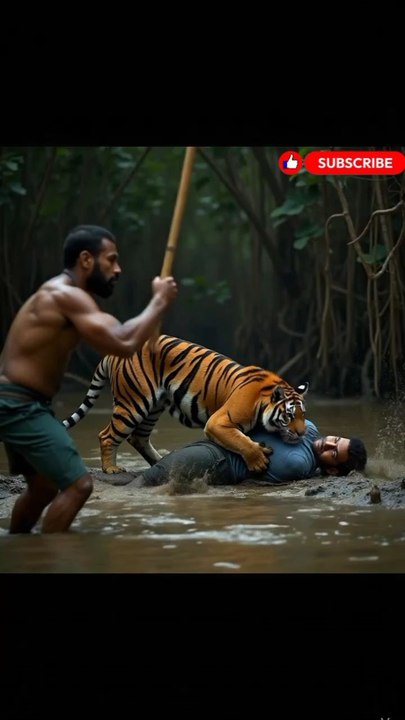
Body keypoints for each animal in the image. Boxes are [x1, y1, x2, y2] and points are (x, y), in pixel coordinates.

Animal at [62, 334, 309, 474]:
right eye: (289, 416)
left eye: (303, 416)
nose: (302, 433)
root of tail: (115, 353)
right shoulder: (218, 421)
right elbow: (240, 441)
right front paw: (257, 460)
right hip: (133, 404)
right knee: (107, 435)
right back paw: (111, 468)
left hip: (154, 406)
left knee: (138, 437)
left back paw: (160, 461)